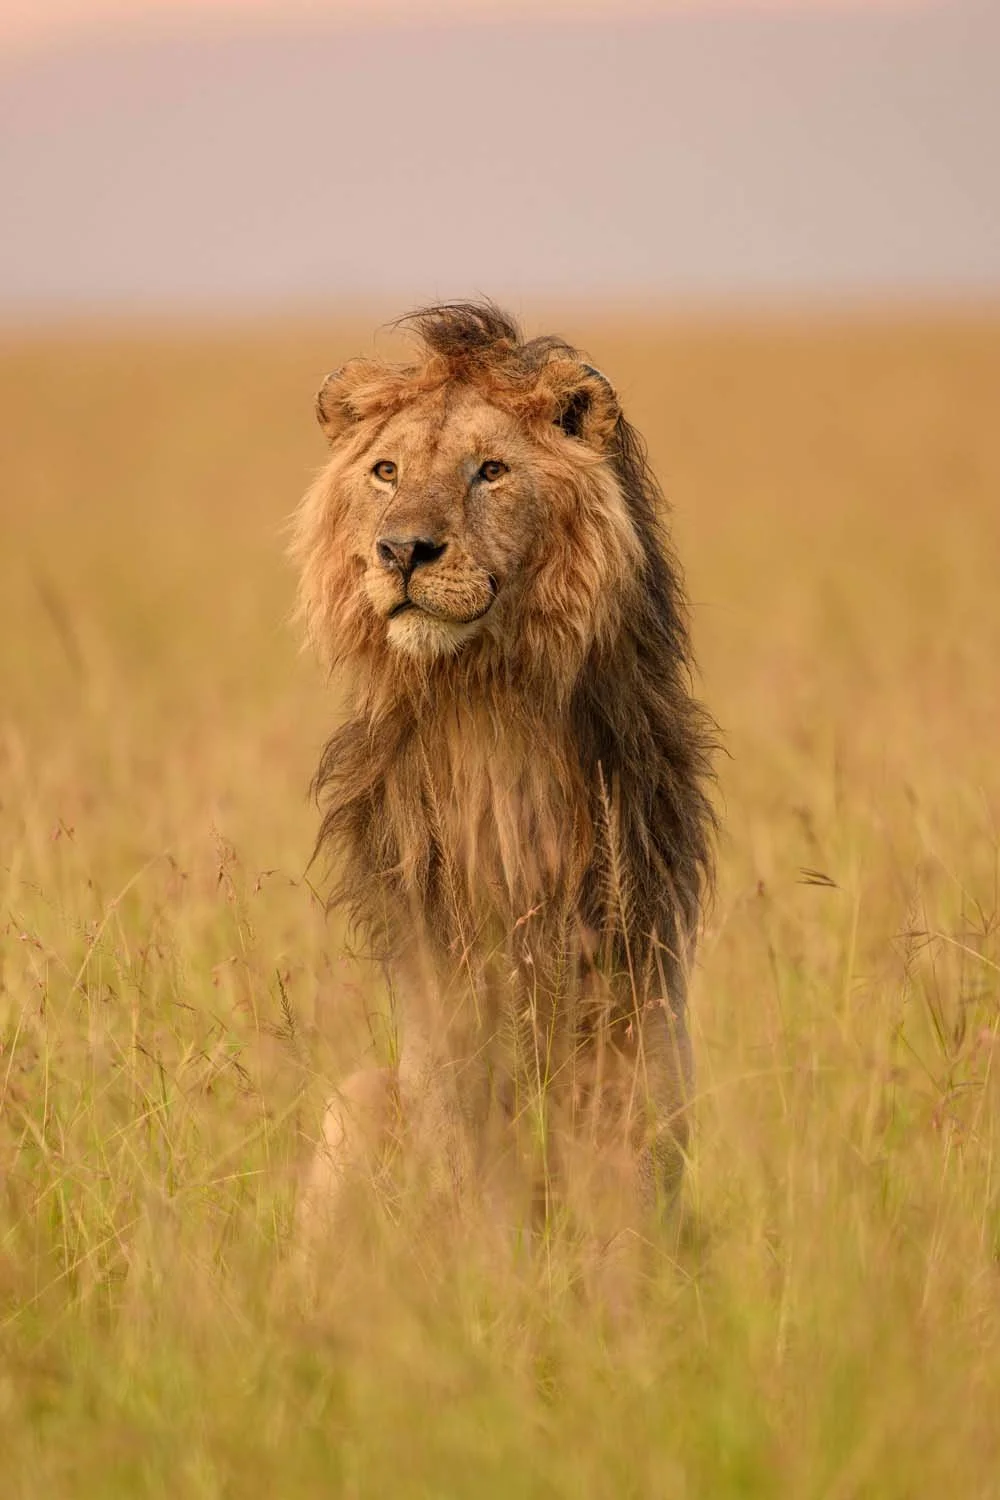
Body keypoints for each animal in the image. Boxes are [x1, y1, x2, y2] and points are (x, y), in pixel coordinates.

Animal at [292, 302, 716, 1253]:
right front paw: (485, 1279)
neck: (485, 704)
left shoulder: (631, 982)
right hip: (357, 1099)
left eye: (491, 471)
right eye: (385, 471)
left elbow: (625, 1179)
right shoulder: (441, 989)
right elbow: (468, 1170)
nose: (402, 550)